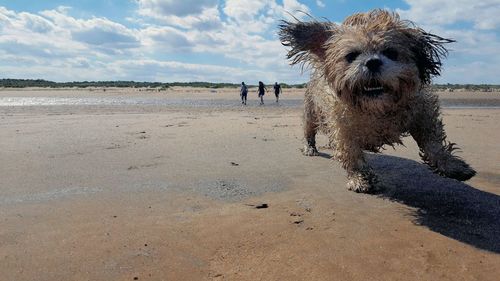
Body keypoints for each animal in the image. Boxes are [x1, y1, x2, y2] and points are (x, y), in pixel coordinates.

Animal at [280, 9, 474, 192]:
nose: (372, 62)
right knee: (309, 132)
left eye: (391, 53)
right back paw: (310, 147)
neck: (377, 109)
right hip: (311, 113)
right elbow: (352, 154)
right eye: (351, 56)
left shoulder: (421, 113)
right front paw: (360, 178)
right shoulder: (343, 127)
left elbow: (433, 142)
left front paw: (450, 165)